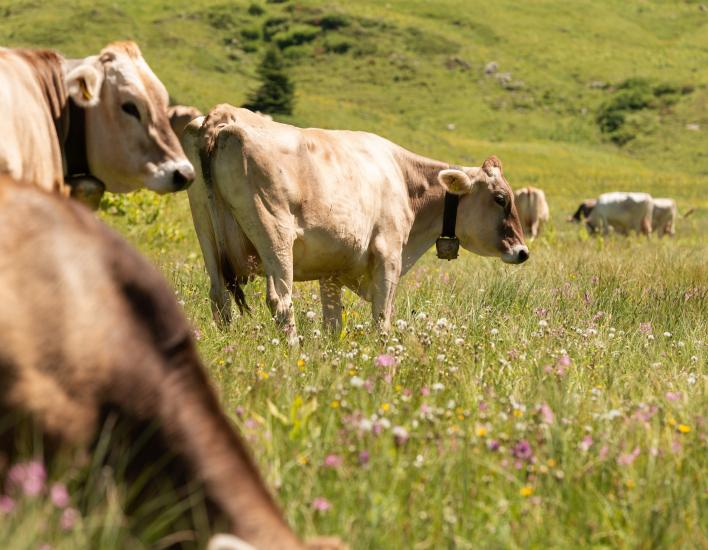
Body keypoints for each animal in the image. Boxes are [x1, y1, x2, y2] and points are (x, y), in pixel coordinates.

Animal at [181, 105, 524, 342]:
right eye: (500, 198)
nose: (522, 251)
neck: (403, 179)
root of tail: (224, 115)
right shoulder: (388, 255)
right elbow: (382, 318)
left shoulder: (330, 269)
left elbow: (333, 322)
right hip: (274, 235)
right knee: (281, 300)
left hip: (205, 230)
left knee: (219, 298)